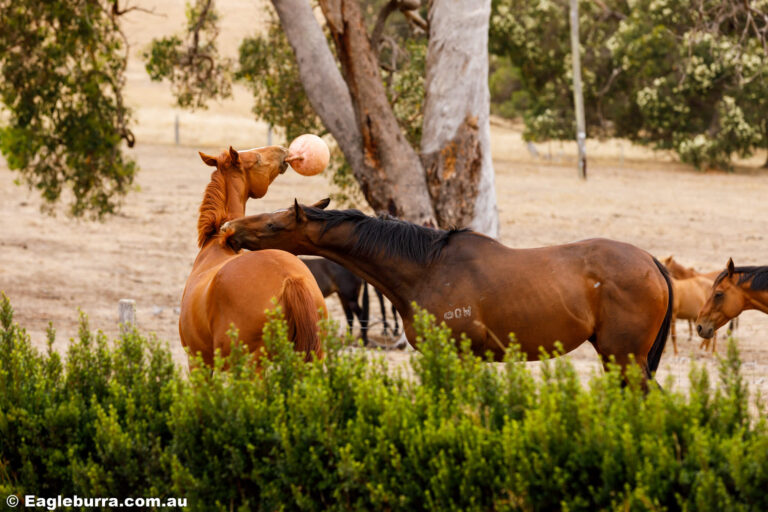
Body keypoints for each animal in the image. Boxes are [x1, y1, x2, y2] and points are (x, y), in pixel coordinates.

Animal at [220, 200, 672, 384]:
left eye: (275, 225)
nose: (231, 229)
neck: (428, 268)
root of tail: (652, 262)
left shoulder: (459, 355)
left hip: (625, 358)